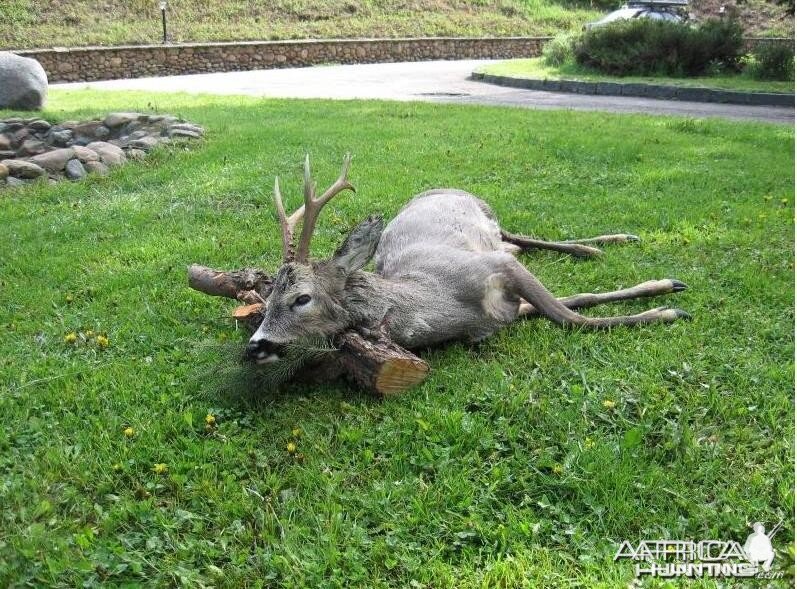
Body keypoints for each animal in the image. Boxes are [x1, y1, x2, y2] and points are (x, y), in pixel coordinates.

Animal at [246, 154, 688, 360]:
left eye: (301, 298)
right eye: (265, 301)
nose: (254, 346)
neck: (443, 303)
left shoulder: (496, 268)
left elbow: (571, 317)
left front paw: (668, 305)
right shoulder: (498, 313)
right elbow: (574, 302)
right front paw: (664, 295)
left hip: (489, 219)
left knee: (518, 237)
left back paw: (604, 243)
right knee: (518, 242)